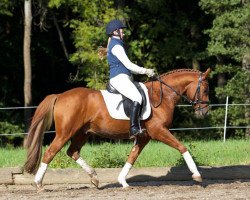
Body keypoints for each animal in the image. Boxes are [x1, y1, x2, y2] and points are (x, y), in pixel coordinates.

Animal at [23, 68, 211, 189]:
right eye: (205, 89)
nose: (204, 111)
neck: (161, 96)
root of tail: (60, 95)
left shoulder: (144, 137)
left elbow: (132, 157)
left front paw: (123, 182)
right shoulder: (159, 131)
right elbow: (182, 147)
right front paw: (197, 175)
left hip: (82, 133)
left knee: (72, 151)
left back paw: (94, 178)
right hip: (65, 133)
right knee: (50, 152)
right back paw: (38, 183)